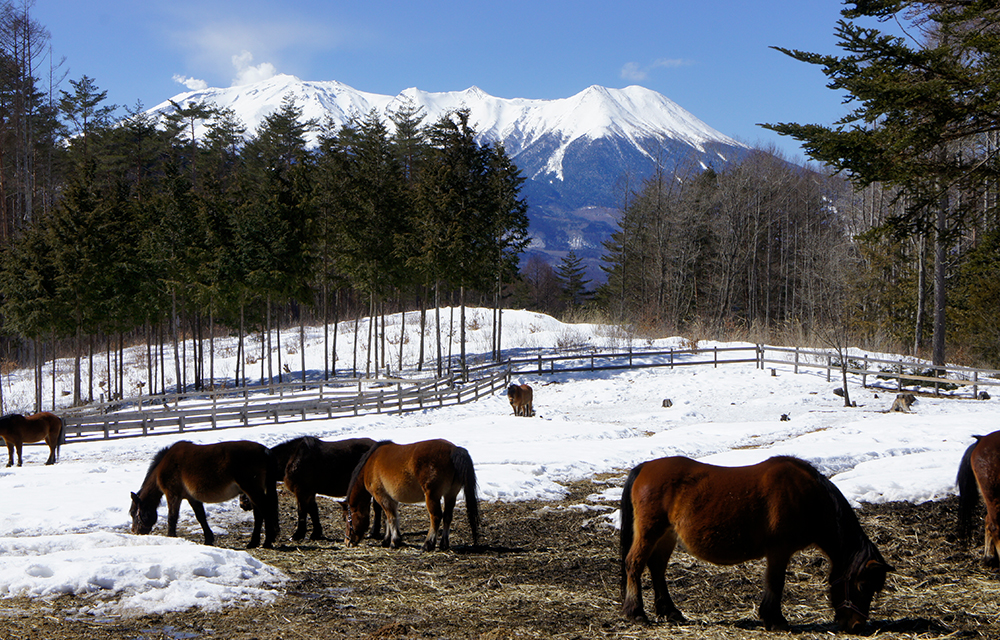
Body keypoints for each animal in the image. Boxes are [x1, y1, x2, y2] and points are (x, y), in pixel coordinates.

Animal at [129, 440, 280, 552]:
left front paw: (171, 537)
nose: (135, 531)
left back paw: (267, 542)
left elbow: (172, 518)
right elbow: (201, 517)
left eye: (132, 513)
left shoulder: (173, 495)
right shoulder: (192, 498)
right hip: (252, 492)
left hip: (252, 490)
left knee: (265, 511)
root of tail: (265, 451)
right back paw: (253, 542)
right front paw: (208, 539)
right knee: (258, 515)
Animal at [348, 438, 480, 552]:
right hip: (451, 494)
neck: (370, 464)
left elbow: (391, 518)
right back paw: (444, 544)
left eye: (348, 520)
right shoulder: (391, 499)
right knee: (447, 516)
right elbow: (389, 518)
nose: (347, 541)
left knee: (436, 517)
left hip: (432, 496)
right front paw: (387, 540)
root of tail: (453, 449)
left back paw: (428, 544)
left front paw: (394, 541)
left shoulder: (382, 497)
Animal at [620, 456, 896, 632]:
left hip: (666, 535)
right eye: (862, 586)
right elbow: (776, 582)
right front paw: (775, 620)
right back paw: (637, 613)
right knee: (634, 564)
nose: (856, 626)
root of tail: (644, 468)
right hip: (650, 532)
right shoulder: (779, 551)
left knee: (657, 568)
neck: (808, 497)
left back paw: (670, 611)